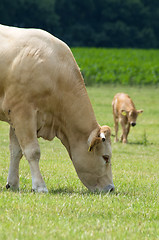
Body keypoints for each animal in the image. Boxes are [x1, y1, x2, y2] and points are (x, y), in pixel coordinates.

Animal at [0, 24, 114, 193]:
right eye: (106, 157)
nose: (111, 188)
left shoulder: (16, 117)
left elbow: (16, 151)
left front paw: (12, 184)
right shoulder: (23, 113)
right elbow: (32, 151)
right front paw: (39, 186)